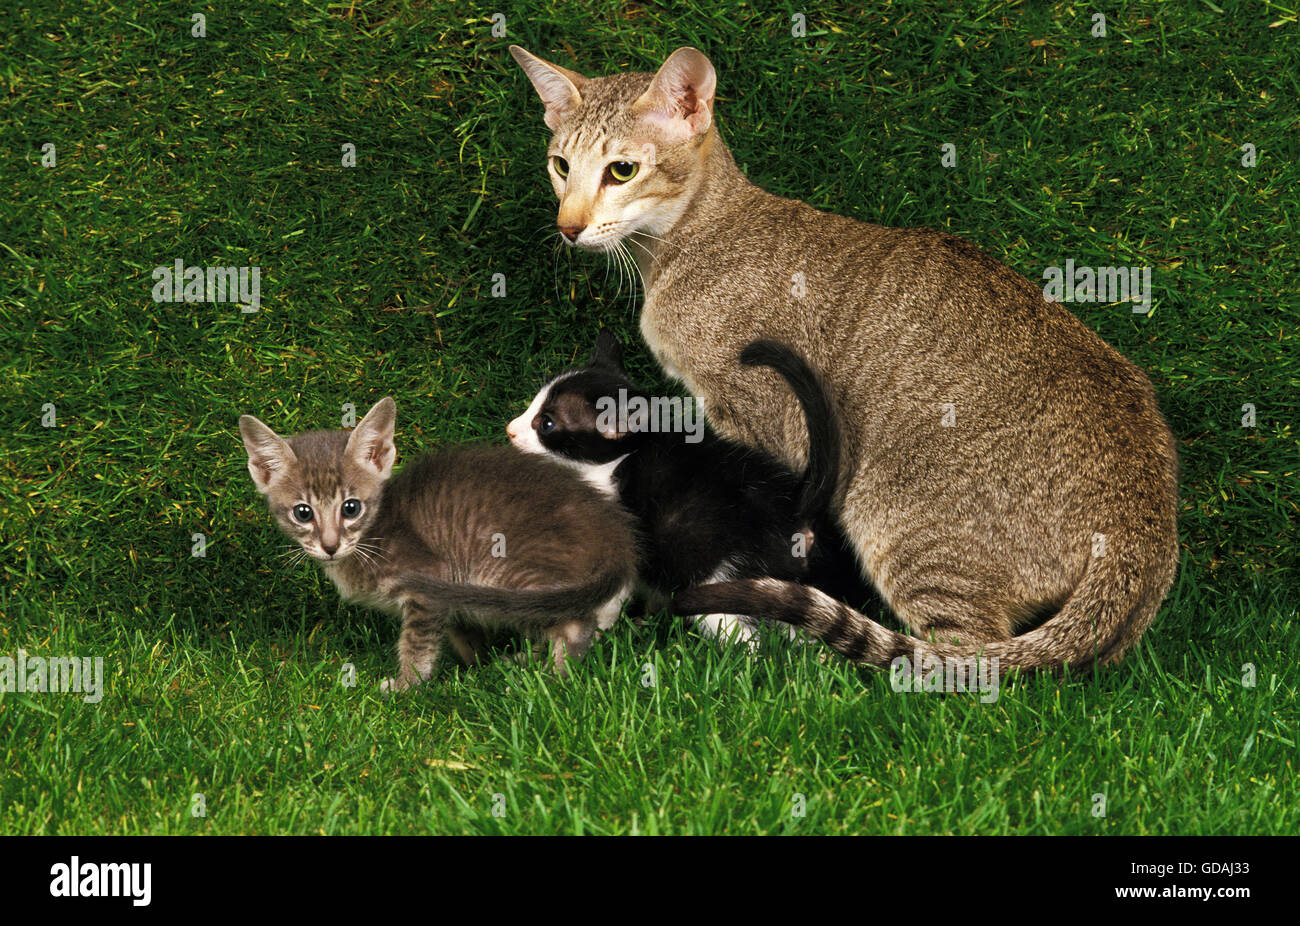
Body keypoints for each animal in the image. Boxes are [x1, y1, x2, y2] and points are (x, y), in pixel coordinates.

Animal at [240, 395, 639, 691]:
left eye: (351, 508)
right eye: (303, 513)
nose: (330, 545)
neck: (373, 534)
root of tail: (616, 536)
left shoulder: (429, 579)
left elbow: (417, 642)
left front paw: (407, 685)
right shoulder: (451, 595)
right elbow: (459, 633)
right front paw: (476, 664)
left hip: (508, 573)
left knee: (573, 625)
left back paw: (550, 683)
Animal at [504, 332, 863, 650]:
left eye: (546, 423)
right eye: (533, 406)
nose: (510, 430)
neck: (618, 461)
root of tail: (796, 509)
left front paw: (601, 627)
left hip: (721, 579)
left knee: (749, 637)